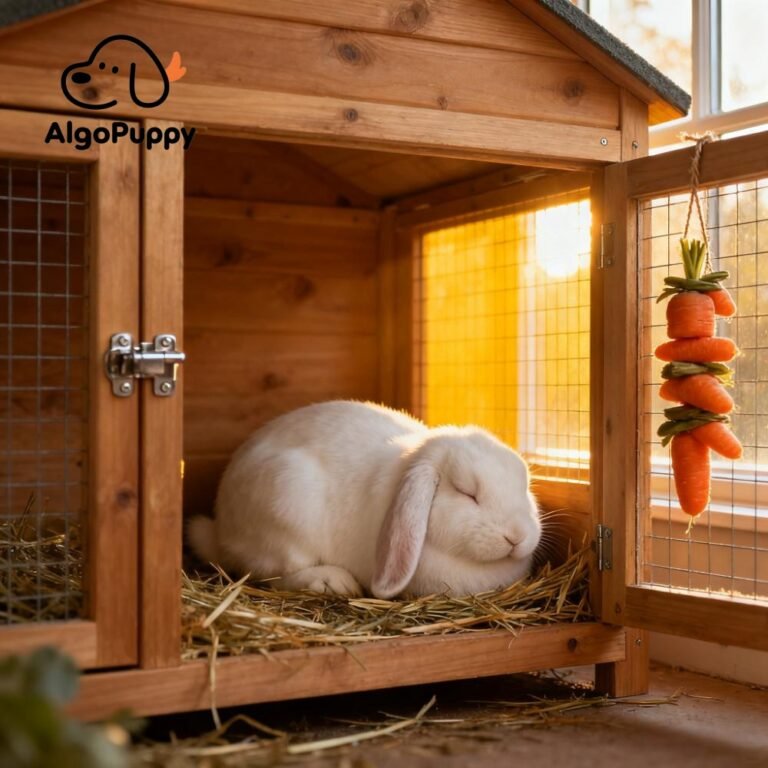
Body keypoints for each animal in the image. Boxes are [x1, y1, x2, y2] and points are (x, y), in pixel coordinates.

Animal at [187, 400, 541, 598]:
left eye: (524, 485)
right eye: (467, 492)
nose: (517, 536)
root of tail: (221, 529)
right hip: (286, 503)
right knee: (273, 574)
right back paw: (333, 582)